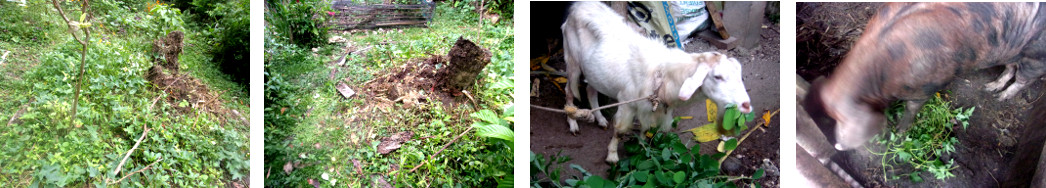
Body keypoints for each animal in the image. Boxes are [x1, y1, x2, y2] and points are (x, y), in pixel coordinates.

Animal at [564, 1, 753, 161]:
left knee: (590, 90)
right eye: (717, 76)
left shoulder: (653, 107)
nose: (746, 105)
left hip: (593, 71)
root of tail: (579, 5)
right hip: (572, 60)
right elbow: (620, 130)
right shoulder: (627, 102)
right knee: (569, 90)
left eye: (739, 75)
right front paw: (612, 157)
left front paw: (642, 149)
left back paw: (600, 118)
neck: (663, 75)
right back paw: (573, 122)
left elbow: (646, 128)